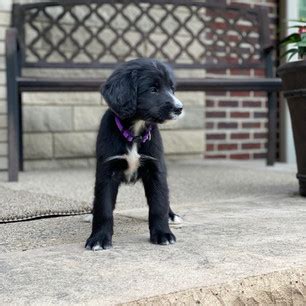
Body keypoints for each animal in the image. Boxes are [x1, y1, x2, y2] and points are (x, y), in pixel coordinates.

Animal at [85, 58, 183, 251]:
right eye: (153, 89)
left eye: (172, 88)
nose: (179, 108)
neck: (135, 133)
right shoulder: (106, 172)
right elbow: (104, 207)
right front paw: (98, 238)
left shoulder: (155, 169)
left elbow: (159, 204)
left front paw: (163, 234)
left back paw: (172, 215)